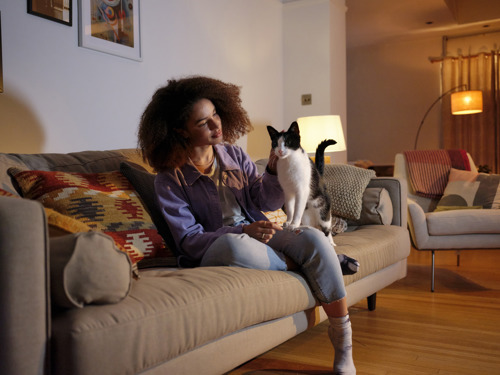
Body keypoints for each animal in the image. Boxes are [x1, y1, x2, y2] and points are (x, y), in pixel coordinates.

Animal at [268, 122, 358, 274]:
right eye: (275, 143)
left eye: (287, 142)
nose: (280, 151)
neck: (288, 163)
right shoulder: (288, 192)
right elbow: (291, 210)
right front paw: (288, 222)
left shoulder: (301, 191)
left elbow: (297, 211)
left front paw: (293, 224)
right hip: (308, 216)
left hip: (323, 213)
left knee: (327, 230)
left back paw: (331, 243)